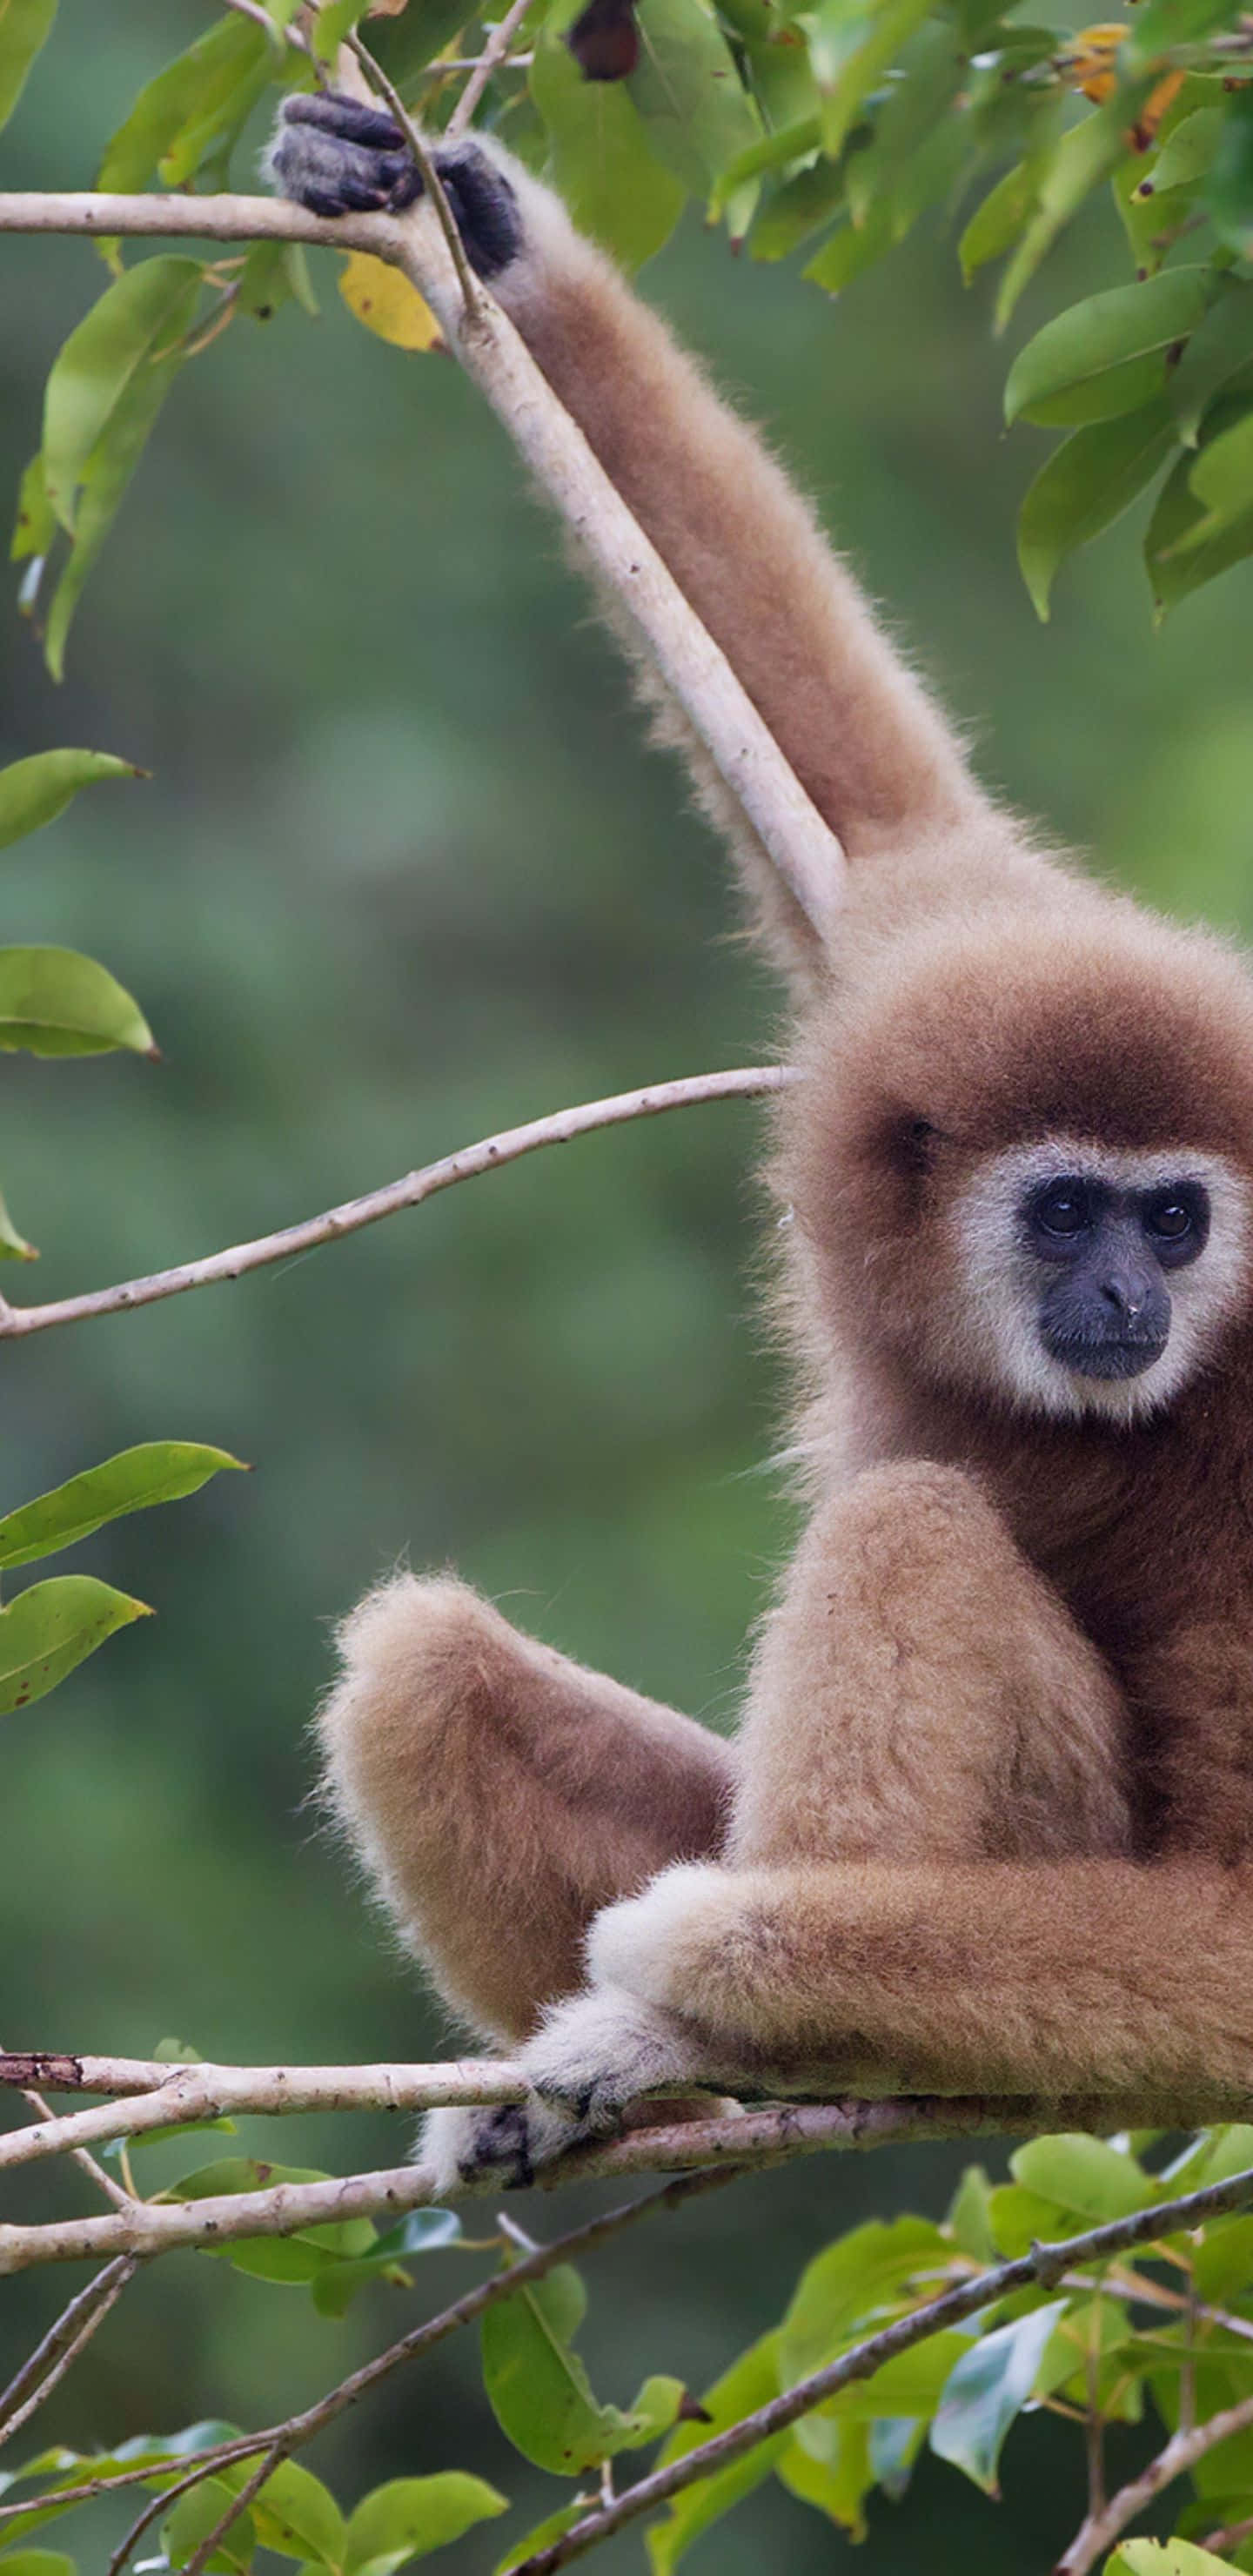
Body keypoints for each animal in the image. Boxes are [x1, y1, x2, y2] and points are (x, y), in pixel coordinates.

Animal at [268, 95, 1253, 2194]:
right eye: (1069, 1211)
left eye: (1179, 1223)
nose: (1128, 1295)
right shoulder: (925, 937)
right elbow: (866, 796)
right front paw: (479, 220)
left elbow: (1233, 1919)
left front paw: (701, 1968)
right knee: (416, 1659)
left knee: (909, 1531)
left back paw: (693, 2033)